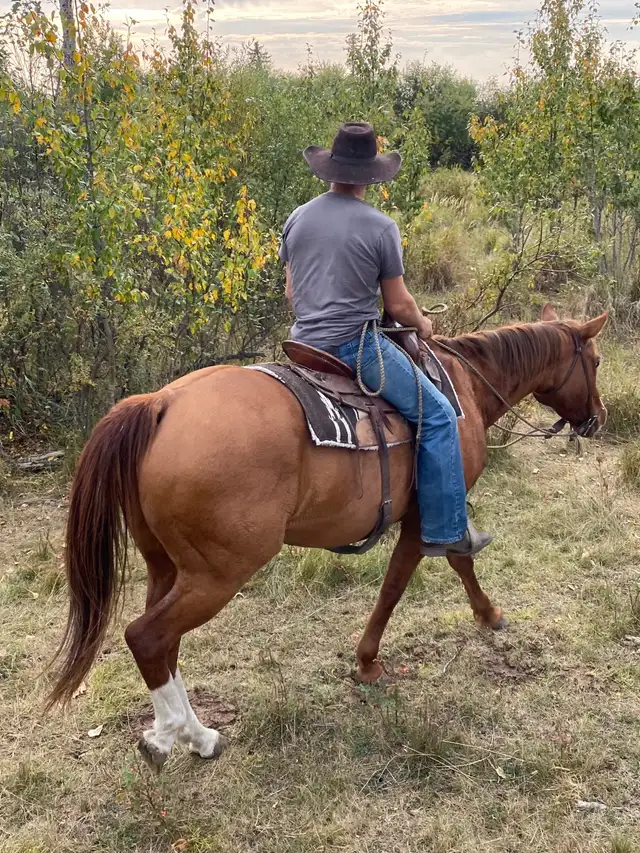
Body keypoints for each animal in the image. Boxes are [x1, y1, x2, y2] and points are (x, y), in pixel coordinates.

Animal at [47, 303, 607, 771]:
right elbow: (412, 579)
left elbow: (445, 566)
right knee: (147, 636)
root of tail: (160, 402)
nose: (597, 420)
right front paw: (374, 659)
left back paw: (187, 735)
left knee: (166, 643)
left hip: (167, 566)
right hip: (217, 574)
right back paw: (178, 736)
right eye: (597, 361)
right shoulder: (425, 518)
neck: (465, 383)